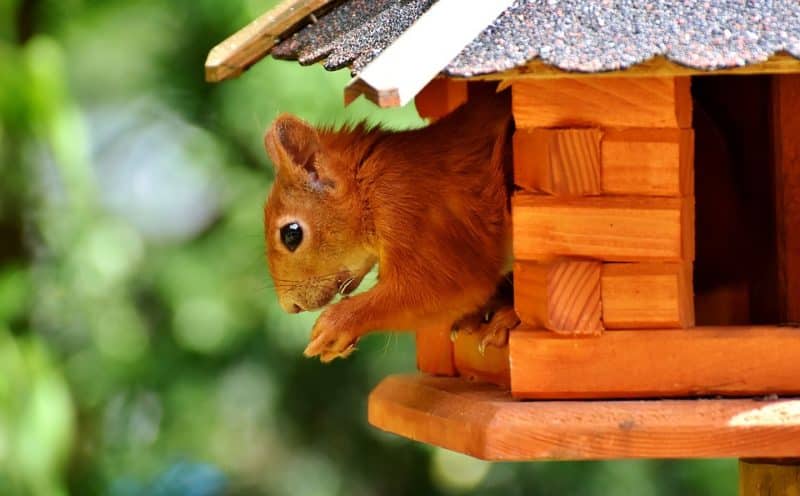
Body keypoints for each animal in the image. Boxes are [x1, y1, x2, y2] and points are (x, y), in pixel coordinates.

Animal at [262, 91, 520, 360]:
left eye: (291, 235)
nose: (290, 306)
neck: (368, 184)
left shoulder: (411, 213)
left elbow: (443, 287)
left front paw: (335, 325)